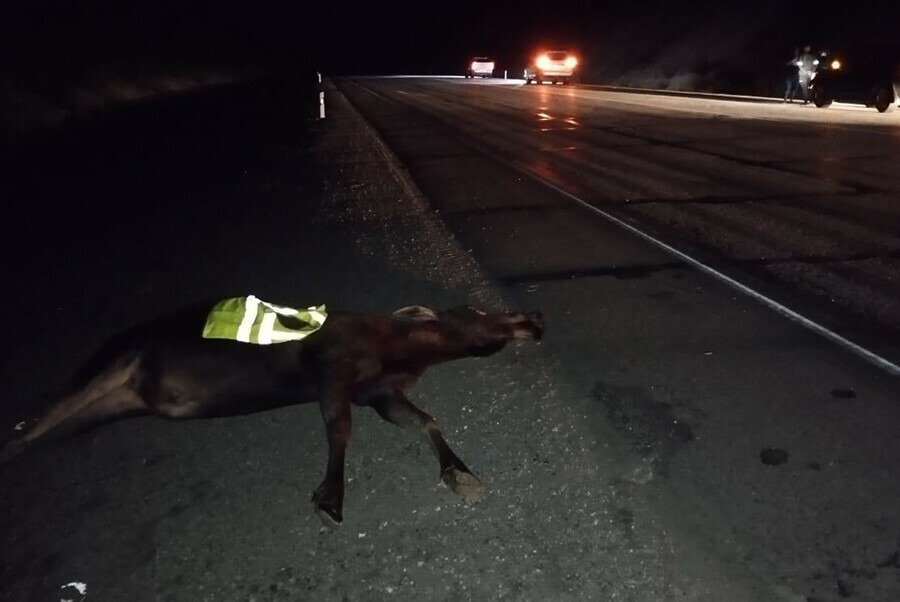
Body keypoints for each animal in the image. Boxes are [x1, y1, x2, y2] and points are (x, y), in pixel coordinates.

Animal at [0, 298, 540, 524]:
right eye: (475, 312)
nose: (532, 318)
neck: (402, 350)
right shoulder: (332, 369)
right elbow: (339, 429)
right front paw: (330, 497)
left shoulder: (376, 391)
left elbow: (424, 421)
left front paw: (459, 471)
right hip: (109, 366)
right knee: (28, 430)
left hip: (108, 401)